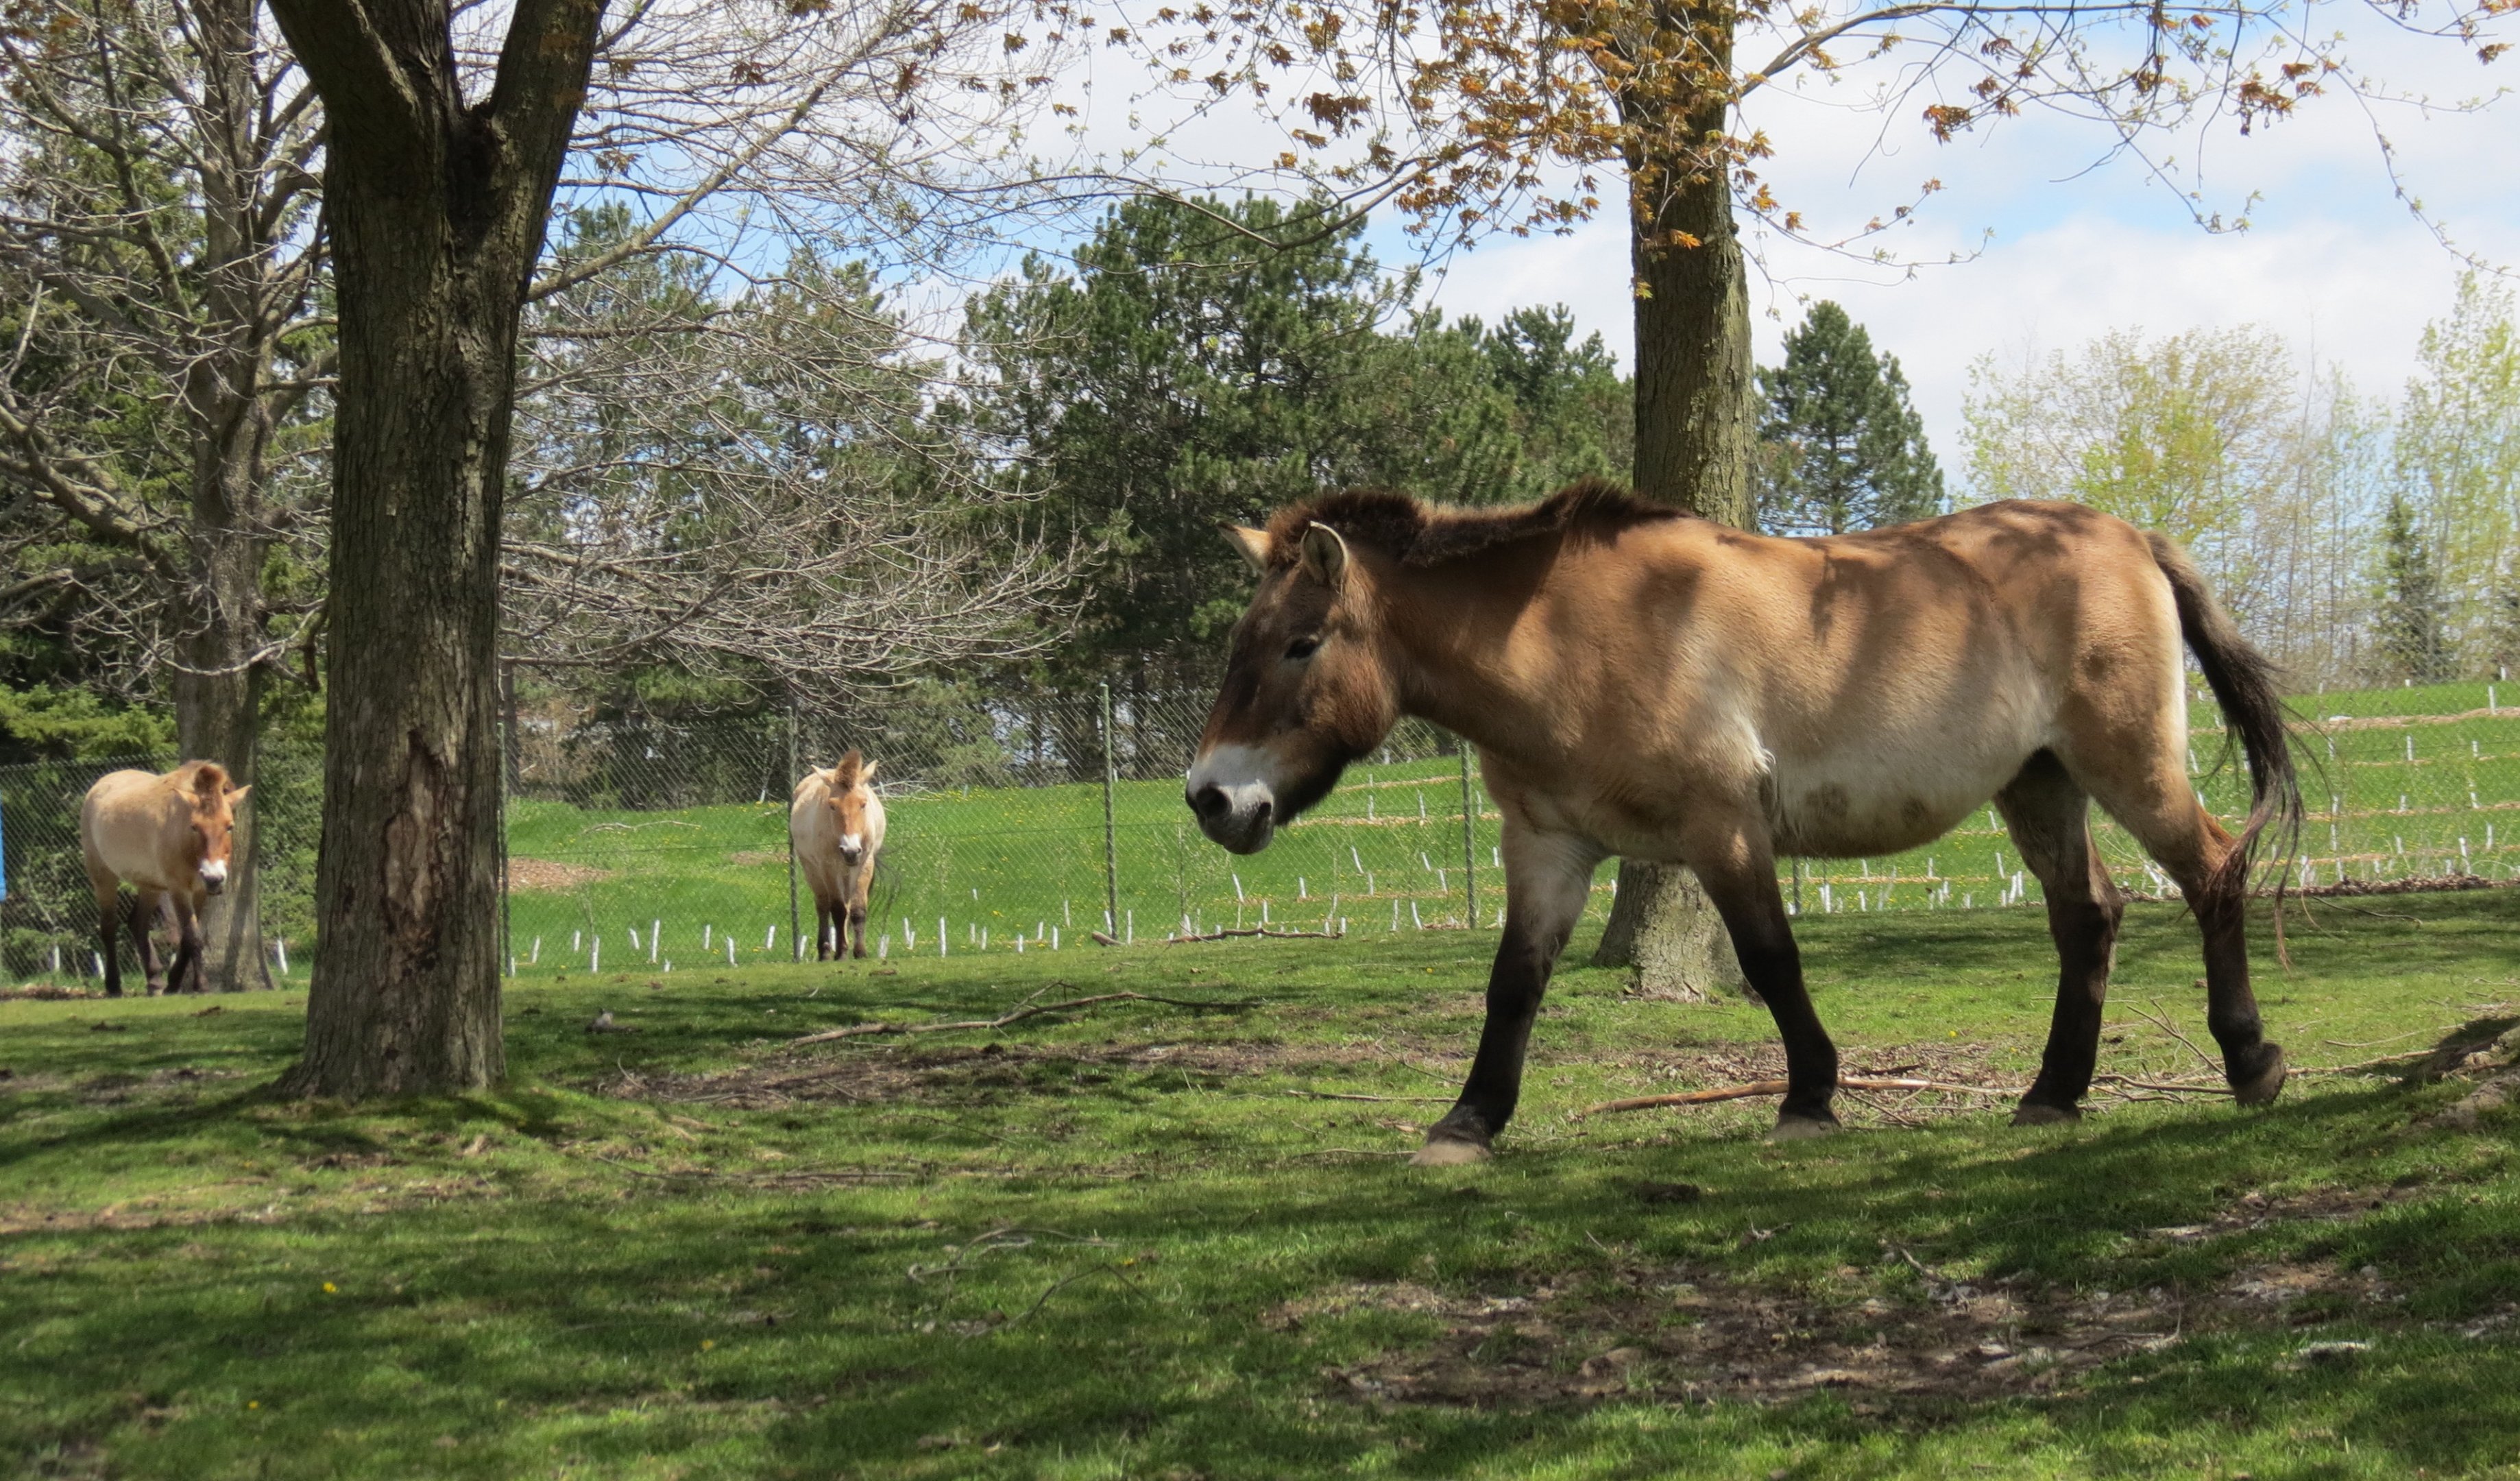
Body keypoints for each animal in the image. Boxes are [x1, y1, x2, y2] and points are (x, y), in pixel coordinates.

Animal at [80, 761, 250, 997]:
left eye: (229, 826)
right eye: (194, 827)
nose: (214, 878)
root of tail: (98, 787)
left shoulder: (199, 892)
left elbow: (187, 939)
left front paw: (173, 983)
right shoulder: (179, 889)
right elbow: (192, 937)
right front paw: (202, 985)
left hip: (150, 886)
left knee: (138, 924)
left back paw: (154, 981)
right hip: (103, 876)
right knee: (109, 926)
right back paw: (114, 986)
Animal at [791, 752, 887, 960]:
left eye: (863, 804)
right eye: (832, 806)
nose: (850, 850)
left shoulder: (865, 863)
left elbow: (858, 910)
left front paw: (860, 952)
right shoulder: (828, 866)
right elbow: (837, 909)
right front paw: (841, 952)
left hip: (847, 873)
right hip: (812, 869)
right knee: (823, 906)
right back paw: (826, 951)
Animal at [1185, 481, 2302, 1164]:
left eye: (1300, 643)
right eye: (1245, 639)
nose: (1212, 798)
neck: (1568, 635)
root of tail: (2128, 537)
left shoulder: (1720, 829)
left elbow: (1771, 961)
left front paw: (1809, 1099)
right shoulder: (1545, 847)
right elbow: (1513, 985)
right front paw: (1468, 1123)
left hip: (2128, 765)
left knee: (2212, 872)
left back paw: (2251, 1063)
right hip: (2038, 784)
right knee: (2088, 917)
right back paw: (2054, 1093)